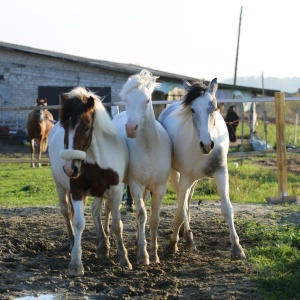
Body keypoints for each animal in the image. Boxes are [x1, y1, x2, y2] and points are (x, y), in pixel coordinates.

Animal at [48, 85, 132, 276]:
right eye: (65, 126)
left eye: (86, 128)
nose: (70, 168)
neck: (97, 160)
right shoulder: (77, 190)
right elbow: (79, 223)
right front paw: (76, 264)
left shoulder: (116, 191)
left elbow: (116, 224)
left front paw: (124, 258)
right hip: (60, 187)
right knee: (66, 212)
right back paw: (74, 242)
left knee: (98, 211)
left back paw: (103, 245)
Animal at [112, 70, 172, 264]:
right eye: (126, 100)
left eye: (146, 100)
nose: (131, 128)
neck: (149, 147)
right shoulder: (136, 185)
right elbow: (141, 215)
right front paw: (143, 255)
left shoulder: (159, 187)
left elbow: (154, 219)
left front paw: (154, 254)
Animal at [158, 78, 245, 262]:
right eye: (192, 109)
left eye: (213, 107)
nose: (206, 145)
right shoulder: (184, 178)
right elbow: (179, 212)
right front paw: (172, 245)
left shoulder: (221, 172)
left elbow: (227, 208)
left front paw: (237, 249)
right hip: (176, 174)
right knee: (182, 203)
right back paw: (186, 237)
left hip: (195, 180)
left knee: (188, 201)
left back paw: (186, 234)